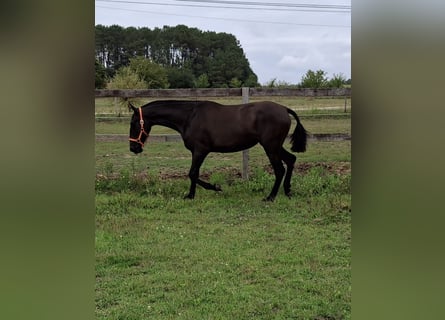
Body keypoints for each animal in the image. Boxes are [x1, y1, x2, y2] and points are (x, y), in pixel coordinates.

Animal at [127, 99, 306, 200]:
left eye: (133, 123)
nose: (133, 147)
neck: (189, 117)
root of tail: (284, 109)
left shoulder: (200, 150)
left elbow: (192, 173)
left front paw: (213, 188)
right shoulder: (197, 152)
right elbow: (194, 174)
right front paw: (192, 195)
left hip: (270, 146)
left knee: (279, 169)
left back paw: (271, 197)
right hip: (275, 146)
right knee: (291, 160)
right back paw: (287, 191)